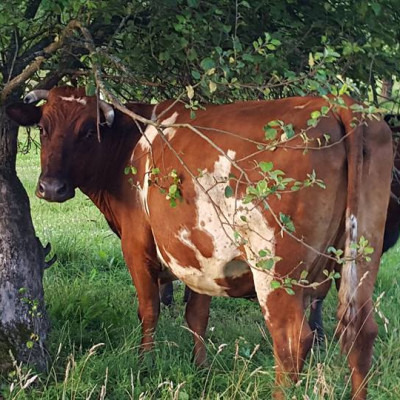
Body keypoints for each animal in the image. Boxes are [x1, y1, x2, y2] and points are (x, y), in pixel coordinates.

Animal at [7, 86, 394, 396]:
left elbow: (148, 310)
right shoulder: (201, 254)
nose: (51, 188)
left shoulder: (136, 245)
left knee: (291, 339)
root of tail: (335, 104)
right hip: (362, 258)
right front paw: (200, 368)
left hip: (275, 269)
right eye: (43, 128)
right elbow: (197, 314)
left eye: (88, 131)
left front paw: (145, 363)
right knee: (359, 333)